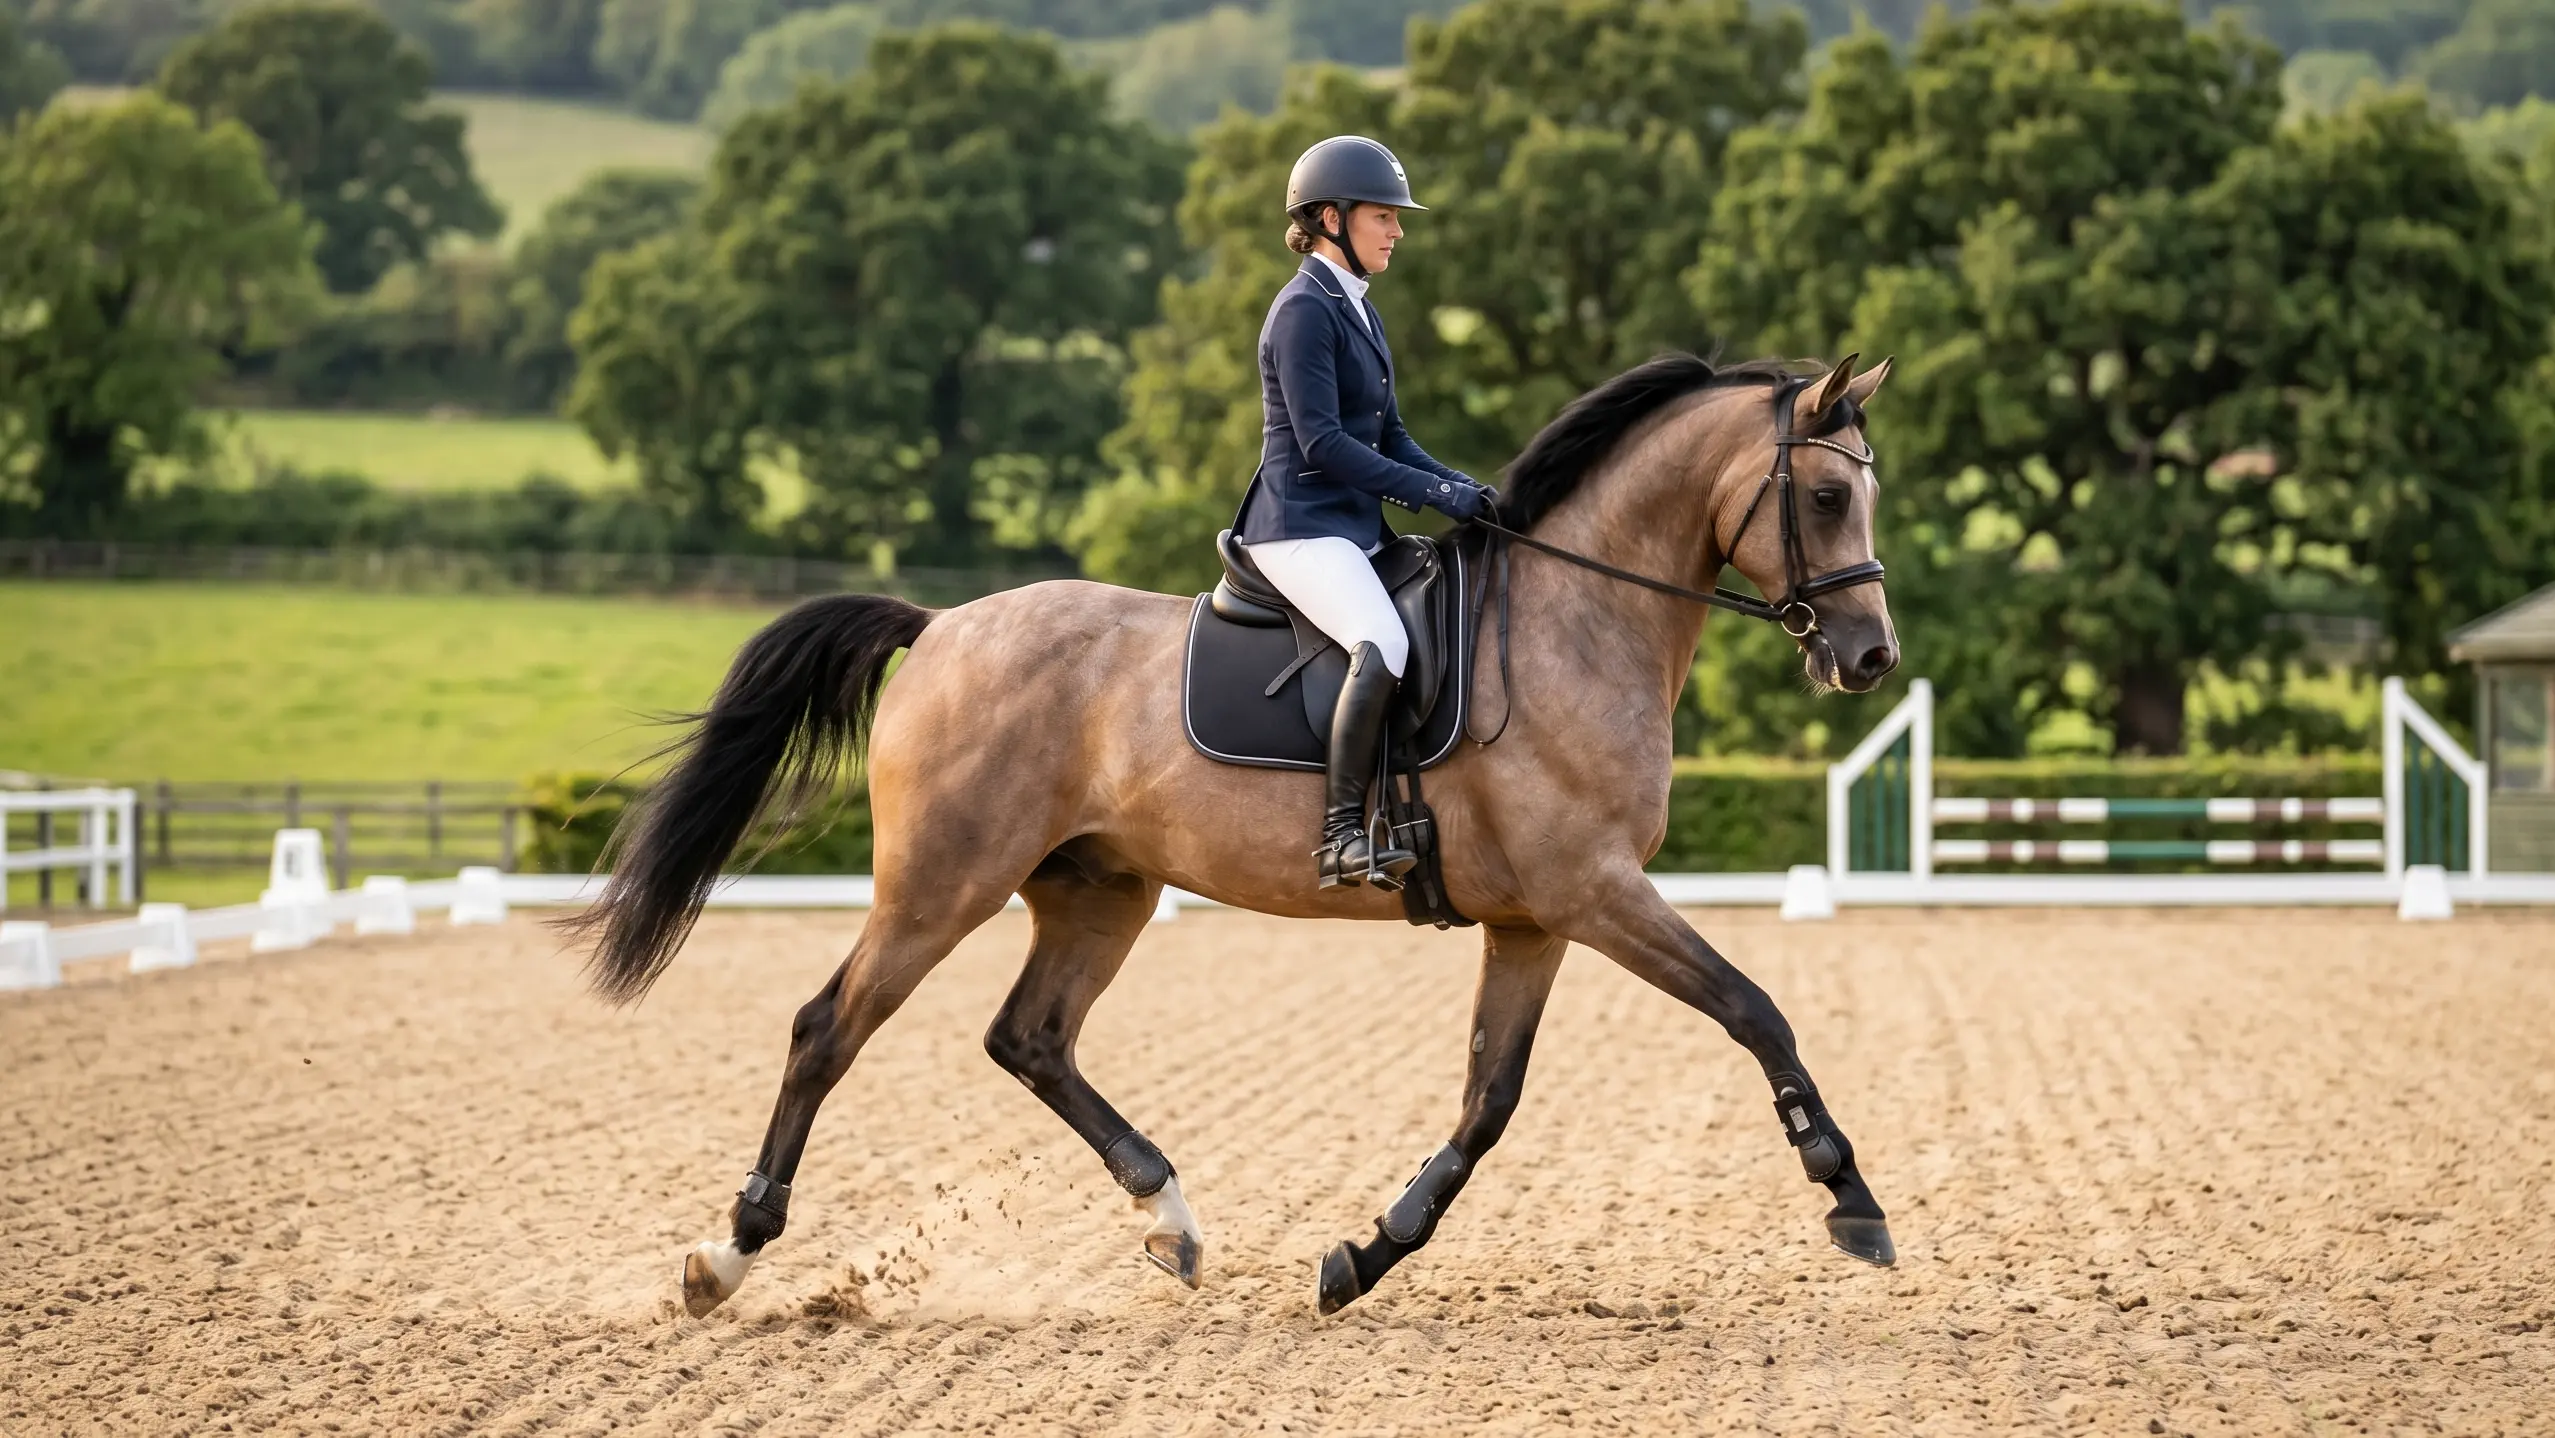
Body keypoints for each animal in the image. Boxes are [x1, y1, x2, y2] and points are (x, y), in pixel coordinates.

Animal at [570, 352, 1903, 1319]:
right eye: (1825, 495)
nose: (1869, 658)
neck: (1576, 617)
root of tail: (940, 625)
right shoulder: (1596, 891)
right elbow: (1751, 1009)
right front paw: (1849, 1195)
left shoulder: (1536, 917)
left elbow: (1486, 1102)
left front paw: (1361, 1256)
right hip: (940, 884)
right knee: (827, 1030)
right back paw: (725, 1258)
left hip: (1097, 891)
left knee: (1029, 1037)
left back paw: (1170, 1220)